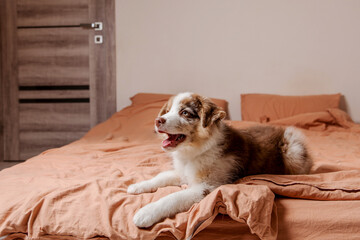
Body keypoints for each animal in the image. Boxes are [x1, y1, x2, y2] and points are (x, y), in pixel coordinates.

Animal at [127, 93, 312, 228]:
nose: (158, 120)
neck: (196, 150)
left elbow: (174, 197)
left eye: (185, 113)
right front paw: (137, 186)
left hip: (293, 149)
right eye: (167, 111)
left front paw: (145, 213)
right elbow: (161, 176)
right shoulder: (183, 172)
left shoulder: (207, 187)